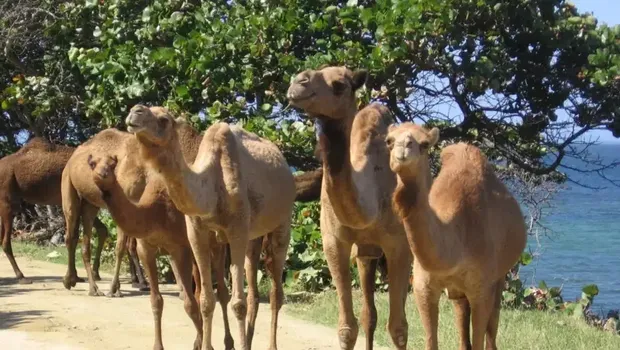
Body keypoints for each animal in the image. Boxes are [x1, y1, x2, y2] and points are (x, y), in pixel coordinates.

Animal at [0, 137, 110, 284]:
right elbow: (74, 236)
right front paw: (73, 277)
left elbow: (99, 231)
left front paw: (84, 275)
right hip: (7, 201)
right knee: (6, 241)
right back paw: (21, 277)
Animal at [126, 104, 296, 350]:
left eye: (164, 119)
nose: (135, 112)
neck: (212, 187)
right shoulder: (196, 232)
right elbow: (206, 299)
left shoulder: (237, 230)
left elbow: (238, 303)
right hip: (253, 236)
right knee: (253, 289)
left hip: (283, 222)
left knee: (275, 292)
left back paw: (270, 345)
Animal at [286, 66, 412, 350]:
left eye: (340, 85)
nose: (298, 82)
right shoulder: (333, 242)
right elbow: (347, 328)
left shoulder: (398, 244)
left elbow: (399, 329)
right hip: (367, 253)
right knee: (369, 314)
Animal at [388, 121, 528, 348]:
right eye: (389, 141)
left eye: (425, 144)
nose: (402, 148)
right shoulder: (422, 287)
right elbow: (431, 340)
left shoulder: (481, 289)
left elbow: (480, 336)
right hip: (458, 289)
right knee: (462, 315)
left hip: (500, 275)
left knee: (493, 322)